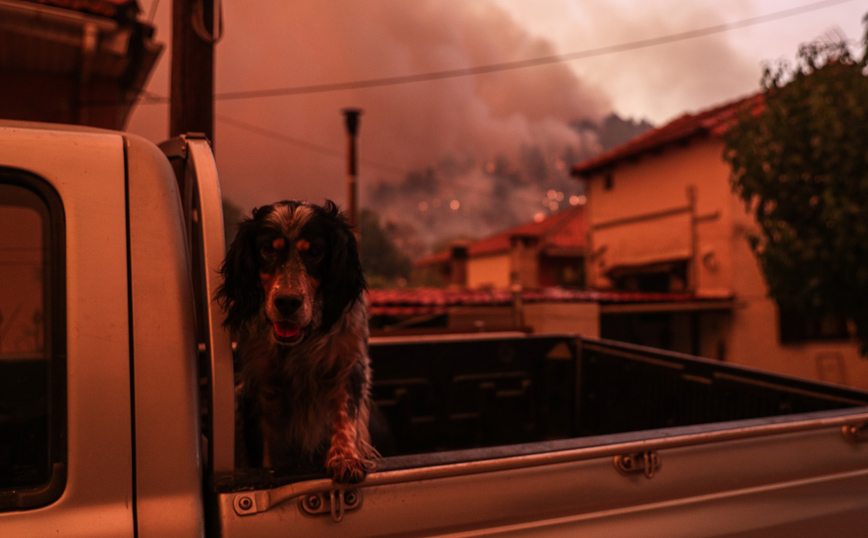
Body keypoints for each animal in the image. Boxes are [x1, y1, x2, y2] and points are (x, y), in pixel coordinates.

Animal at [216, 198, 372, 482]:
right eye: (268, 249)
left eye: (315, 252)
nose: (287, 302)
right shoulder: (260, 388)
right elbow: (269, 453)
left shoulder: (351, 365)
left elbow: (345, 416)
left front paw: (344, 457)